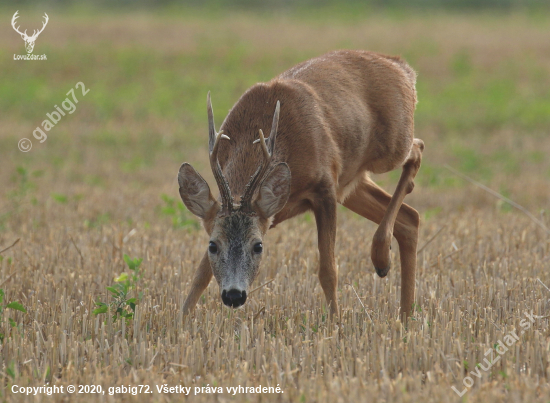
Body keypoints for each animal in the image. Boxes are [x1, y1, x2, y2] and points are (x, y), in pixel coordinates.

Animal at [179, 50, 424, 320]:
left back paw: (381, 257)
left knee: (418, 149)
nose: (234, 296)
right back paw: (405, 315)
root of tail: (402, 67)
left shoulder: (325, 187)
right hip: (353, 183)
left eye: (258, 246)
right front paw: (181, 319)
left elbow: (328, 270)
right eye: (213, 245)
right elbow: (200, 276)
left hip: (391, 147)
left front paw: (335, 322)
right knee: (410, 218)